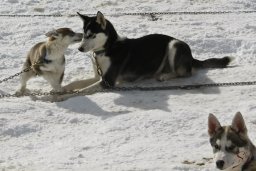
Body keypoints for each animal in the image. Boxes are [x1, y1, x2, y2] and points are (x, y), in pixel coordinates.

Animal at [61, 11, 233, 97]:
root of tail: (191, 57)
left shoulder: (108, 81)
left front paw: (62, 96)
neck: (107, 48)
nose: (79, 49)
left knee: (184, 73)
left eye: (92, 35)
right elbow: (76, 83)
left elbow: (82, 90)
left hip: (174, 45)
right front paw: (62, 89)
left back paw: (164, 76)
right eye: (84, 35)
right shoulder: (98, 76)